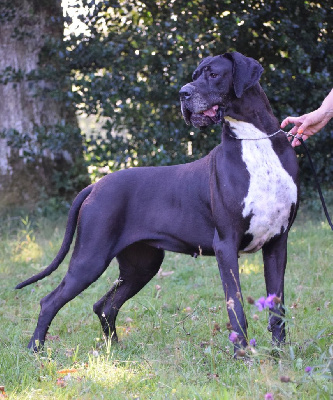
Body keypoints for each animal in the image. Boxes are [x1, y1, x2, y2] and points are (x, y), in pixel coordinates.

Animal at [16, 52, 298, 354]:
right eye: (195, 75)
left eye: (213, 74)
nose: (183, 93)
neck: (255, 140)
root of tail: (95, 185)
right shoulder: (226, 245)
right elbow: (236, 309)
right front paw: (242, 356)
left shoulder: (277, 243)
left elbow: (277, 308)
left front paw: (280, 353)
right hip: (90, 259)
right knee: (50, 301)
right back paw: (35, 349)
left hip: (141, 265)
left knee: (104, 305)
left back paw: (114, 351)